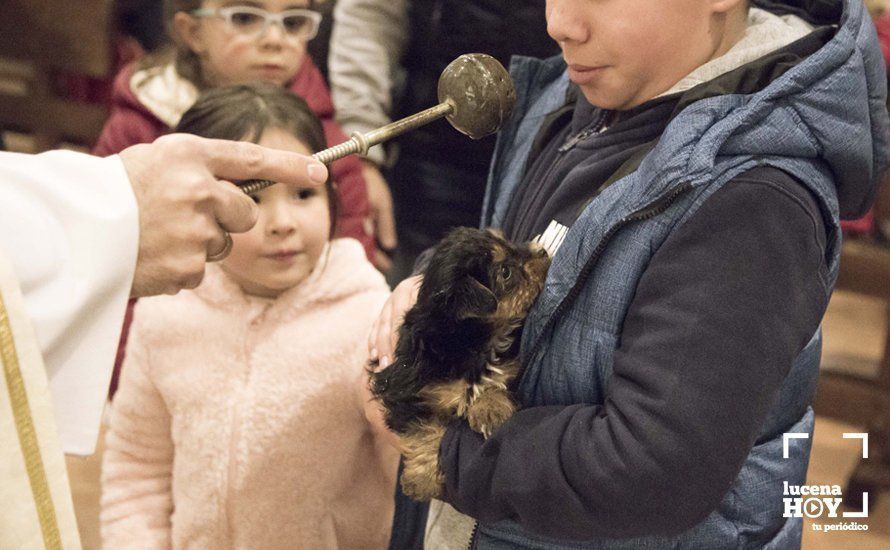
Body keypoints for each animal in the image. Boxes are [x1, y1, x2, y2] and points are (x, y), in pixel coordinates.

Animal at [368, 226, 548, 502]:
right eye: (505, 272)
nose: (542, 252)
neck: (463, 341)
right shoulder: (402, 388)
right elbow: (421, 427)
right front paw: (422, 479)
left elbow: (491, 381)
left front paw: (491, 408)